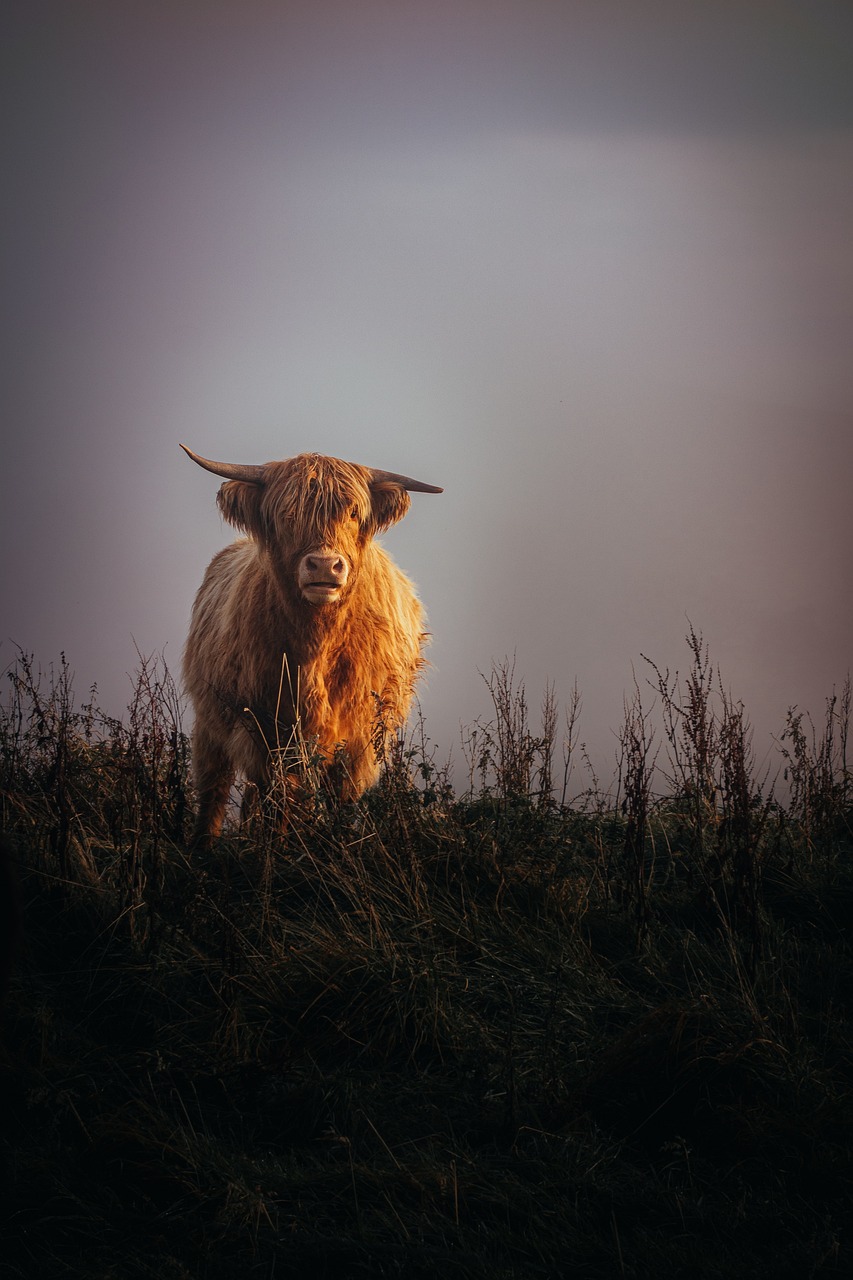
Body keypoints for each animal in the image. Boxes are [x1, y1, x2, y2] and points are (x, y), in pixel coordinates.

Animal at [181, 445, 442, 847]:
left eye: (353, 513)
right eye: (287, 514)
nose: (324, 565)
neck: (318, 646)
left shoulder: (360, 738)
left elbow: (339, 801)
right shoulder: (263, 729)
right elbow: (281, 800)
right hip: (211, 723)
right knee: (216, 787)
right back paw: (204, 847)